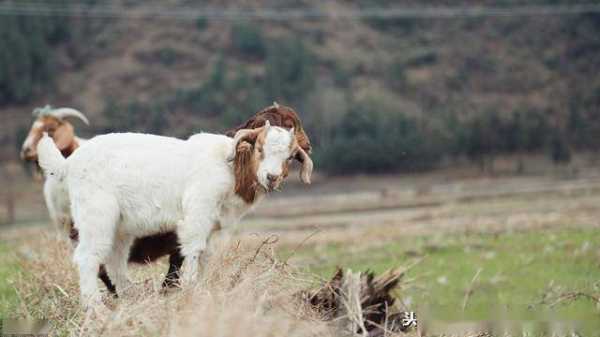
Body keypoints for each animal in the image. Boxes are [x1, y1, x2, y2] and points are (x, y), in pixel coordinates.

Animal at [36, 121, 314, 308]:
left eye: (290, 156)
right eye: (260, 149)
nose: (272, 177)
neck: (231, 168)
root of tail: (68, 163)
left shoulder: (218, 227)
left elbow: (207, 257)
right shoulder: (198, 212)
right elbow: (192, 250)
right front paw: (189, 290)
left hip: (120, 227)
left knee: (115, 262)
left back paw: (131, 299)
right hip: (96, 214)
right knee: (88, 257)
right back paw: (95, 309)